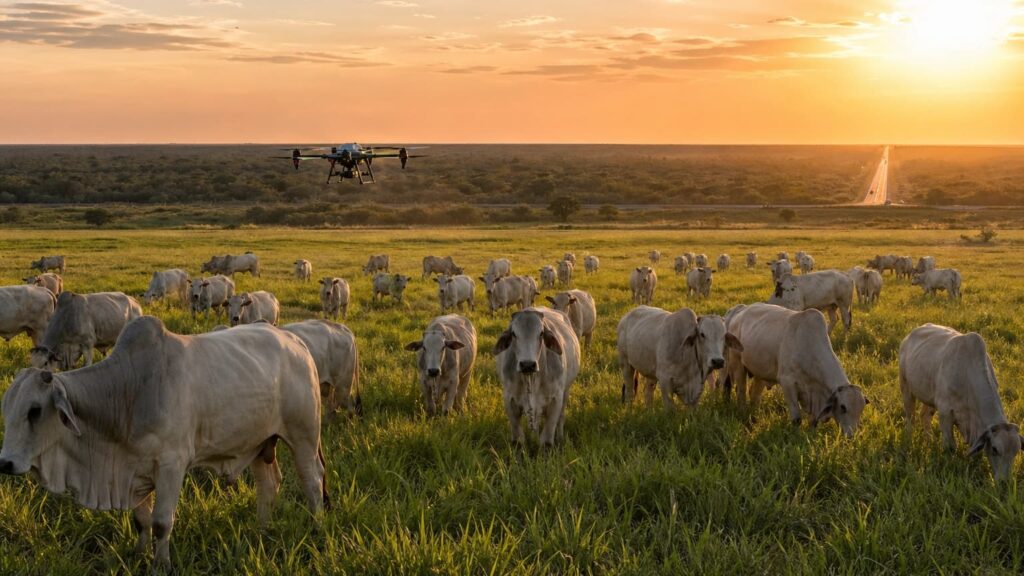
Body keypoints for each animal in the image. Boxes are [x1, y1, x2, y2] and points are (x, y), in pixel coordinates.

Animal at [0, 317, 327, 569]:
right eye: (7, 408)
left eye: (34, 410)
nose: (5, 463)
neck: (128, 391)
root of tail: (294, 340)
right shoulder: (134, 469)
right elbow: (142, 521)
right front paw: (139, 555)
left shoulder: (172, 465)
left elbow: (160, 522)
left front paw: (161, 564)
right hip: (260, 442)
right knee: (268, 484)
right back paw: (262, 530)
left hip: (304, 436)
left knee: (312, 481)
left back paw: (316, 527)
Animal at [494, 308, 581, 448]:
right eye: (513, 334)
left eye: (541, 333)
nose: (527, 365)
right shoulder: (509, 400)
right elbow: (518, 439)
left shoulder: (556, 400)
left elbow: (546, 441)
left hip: (566, 391)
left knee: (561, 417)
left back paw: (560, 437)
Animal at [724, 303, 867, 436]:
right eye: (843, 407)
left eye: (861, 409)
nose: (851, 435)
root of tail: (739, 310)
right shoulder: (787, 383)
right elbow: (797, 418)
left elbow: (813, 420)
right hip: (737, 364)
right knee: (741, 392)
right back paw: (743, 413)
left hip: (759, 371)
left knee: (754, 394)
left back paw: (754, 415)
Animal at [899, 324, 1022, 482]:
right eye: (995, 449)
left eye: (1016, 451)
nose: (1004, 482)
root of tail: (910, 335)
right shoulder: (945, 412)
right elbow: (950, 447)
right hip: (905, 387)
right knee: (910, 417)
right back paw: (909, 439)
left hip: (929, 397)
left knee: (924, 416)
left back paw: (929, 440)